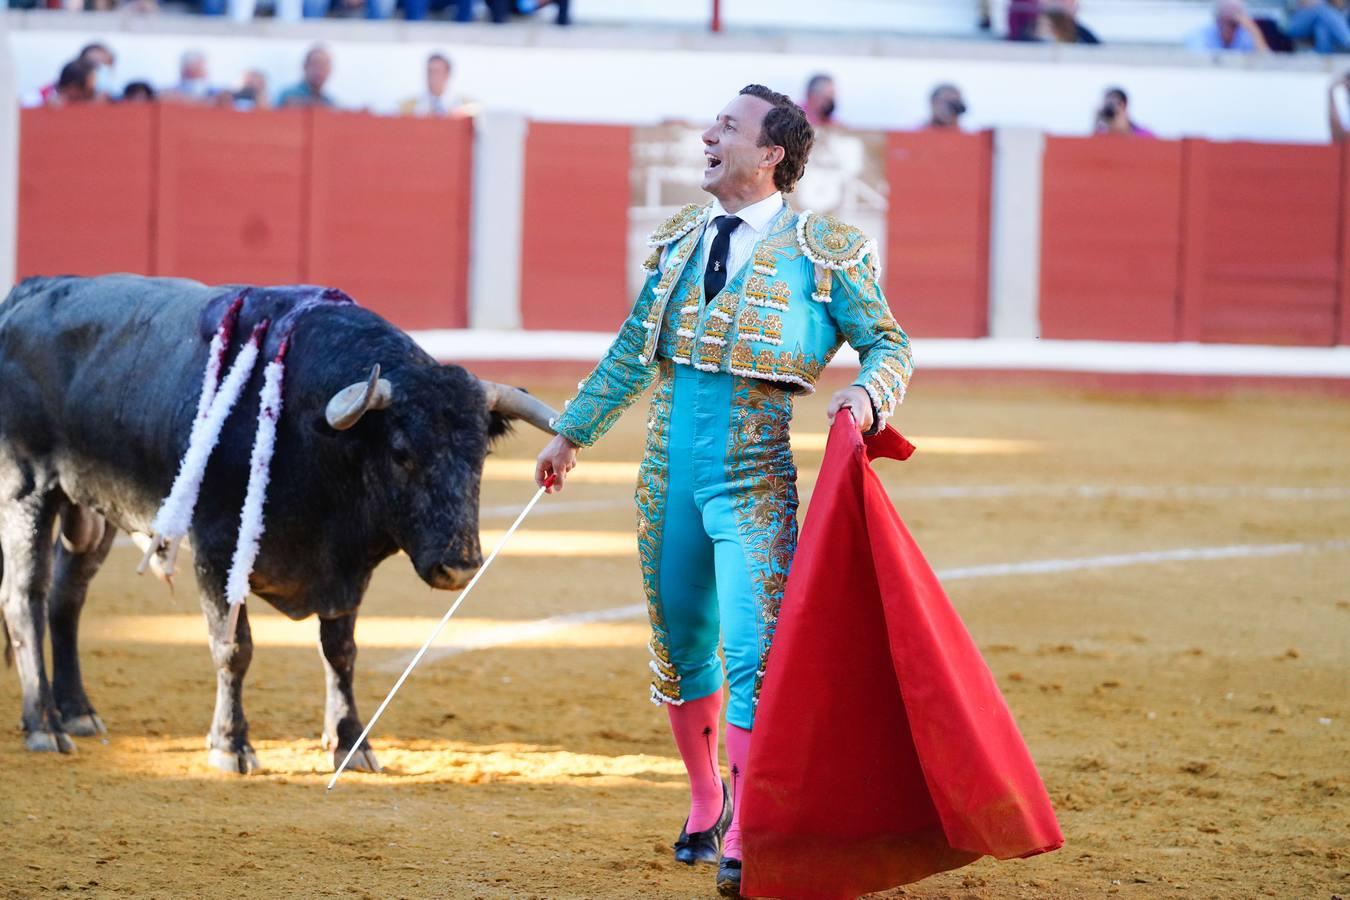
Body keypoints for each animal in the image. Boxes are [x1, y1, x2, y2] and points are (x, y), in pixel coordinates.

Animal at [0, 272, 556, 777]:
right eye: (401, 452)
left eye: (480, 454)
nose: (459, 567)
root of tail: (29, 291)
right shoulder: (217, 550)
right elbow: (234, 648)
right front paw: (230, 745)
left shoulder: (345, 569)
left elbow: (341, 652)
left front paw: (351, 745)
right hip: (28, 490)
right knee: (26, 597)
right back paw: (44, 725)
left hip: (90, 509)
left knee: (67, 596)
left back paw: (78, 713)